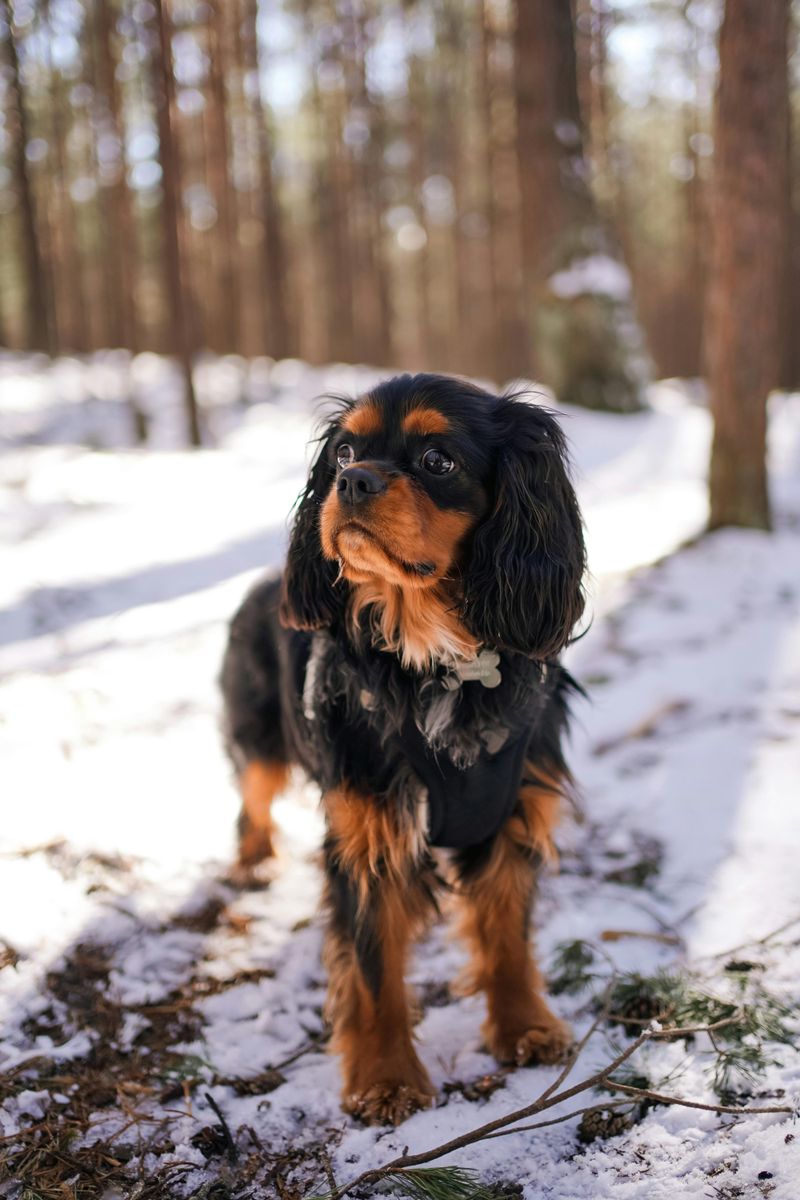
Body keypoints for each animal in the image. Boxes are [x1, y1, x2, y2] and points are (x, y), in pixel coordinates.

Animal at [221, 372, 585, 1123]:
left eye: (437, 460)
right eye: (344, 451)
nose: (353, 480)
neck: (437, 657)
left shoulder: (512, 814)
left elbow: (507, 935)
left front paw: (525, 1027)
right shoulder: (370, 834)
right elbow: (373, 970)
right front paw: (386, 1081)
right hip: (260, 739)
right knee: (252, 800)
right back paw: (252, 864)